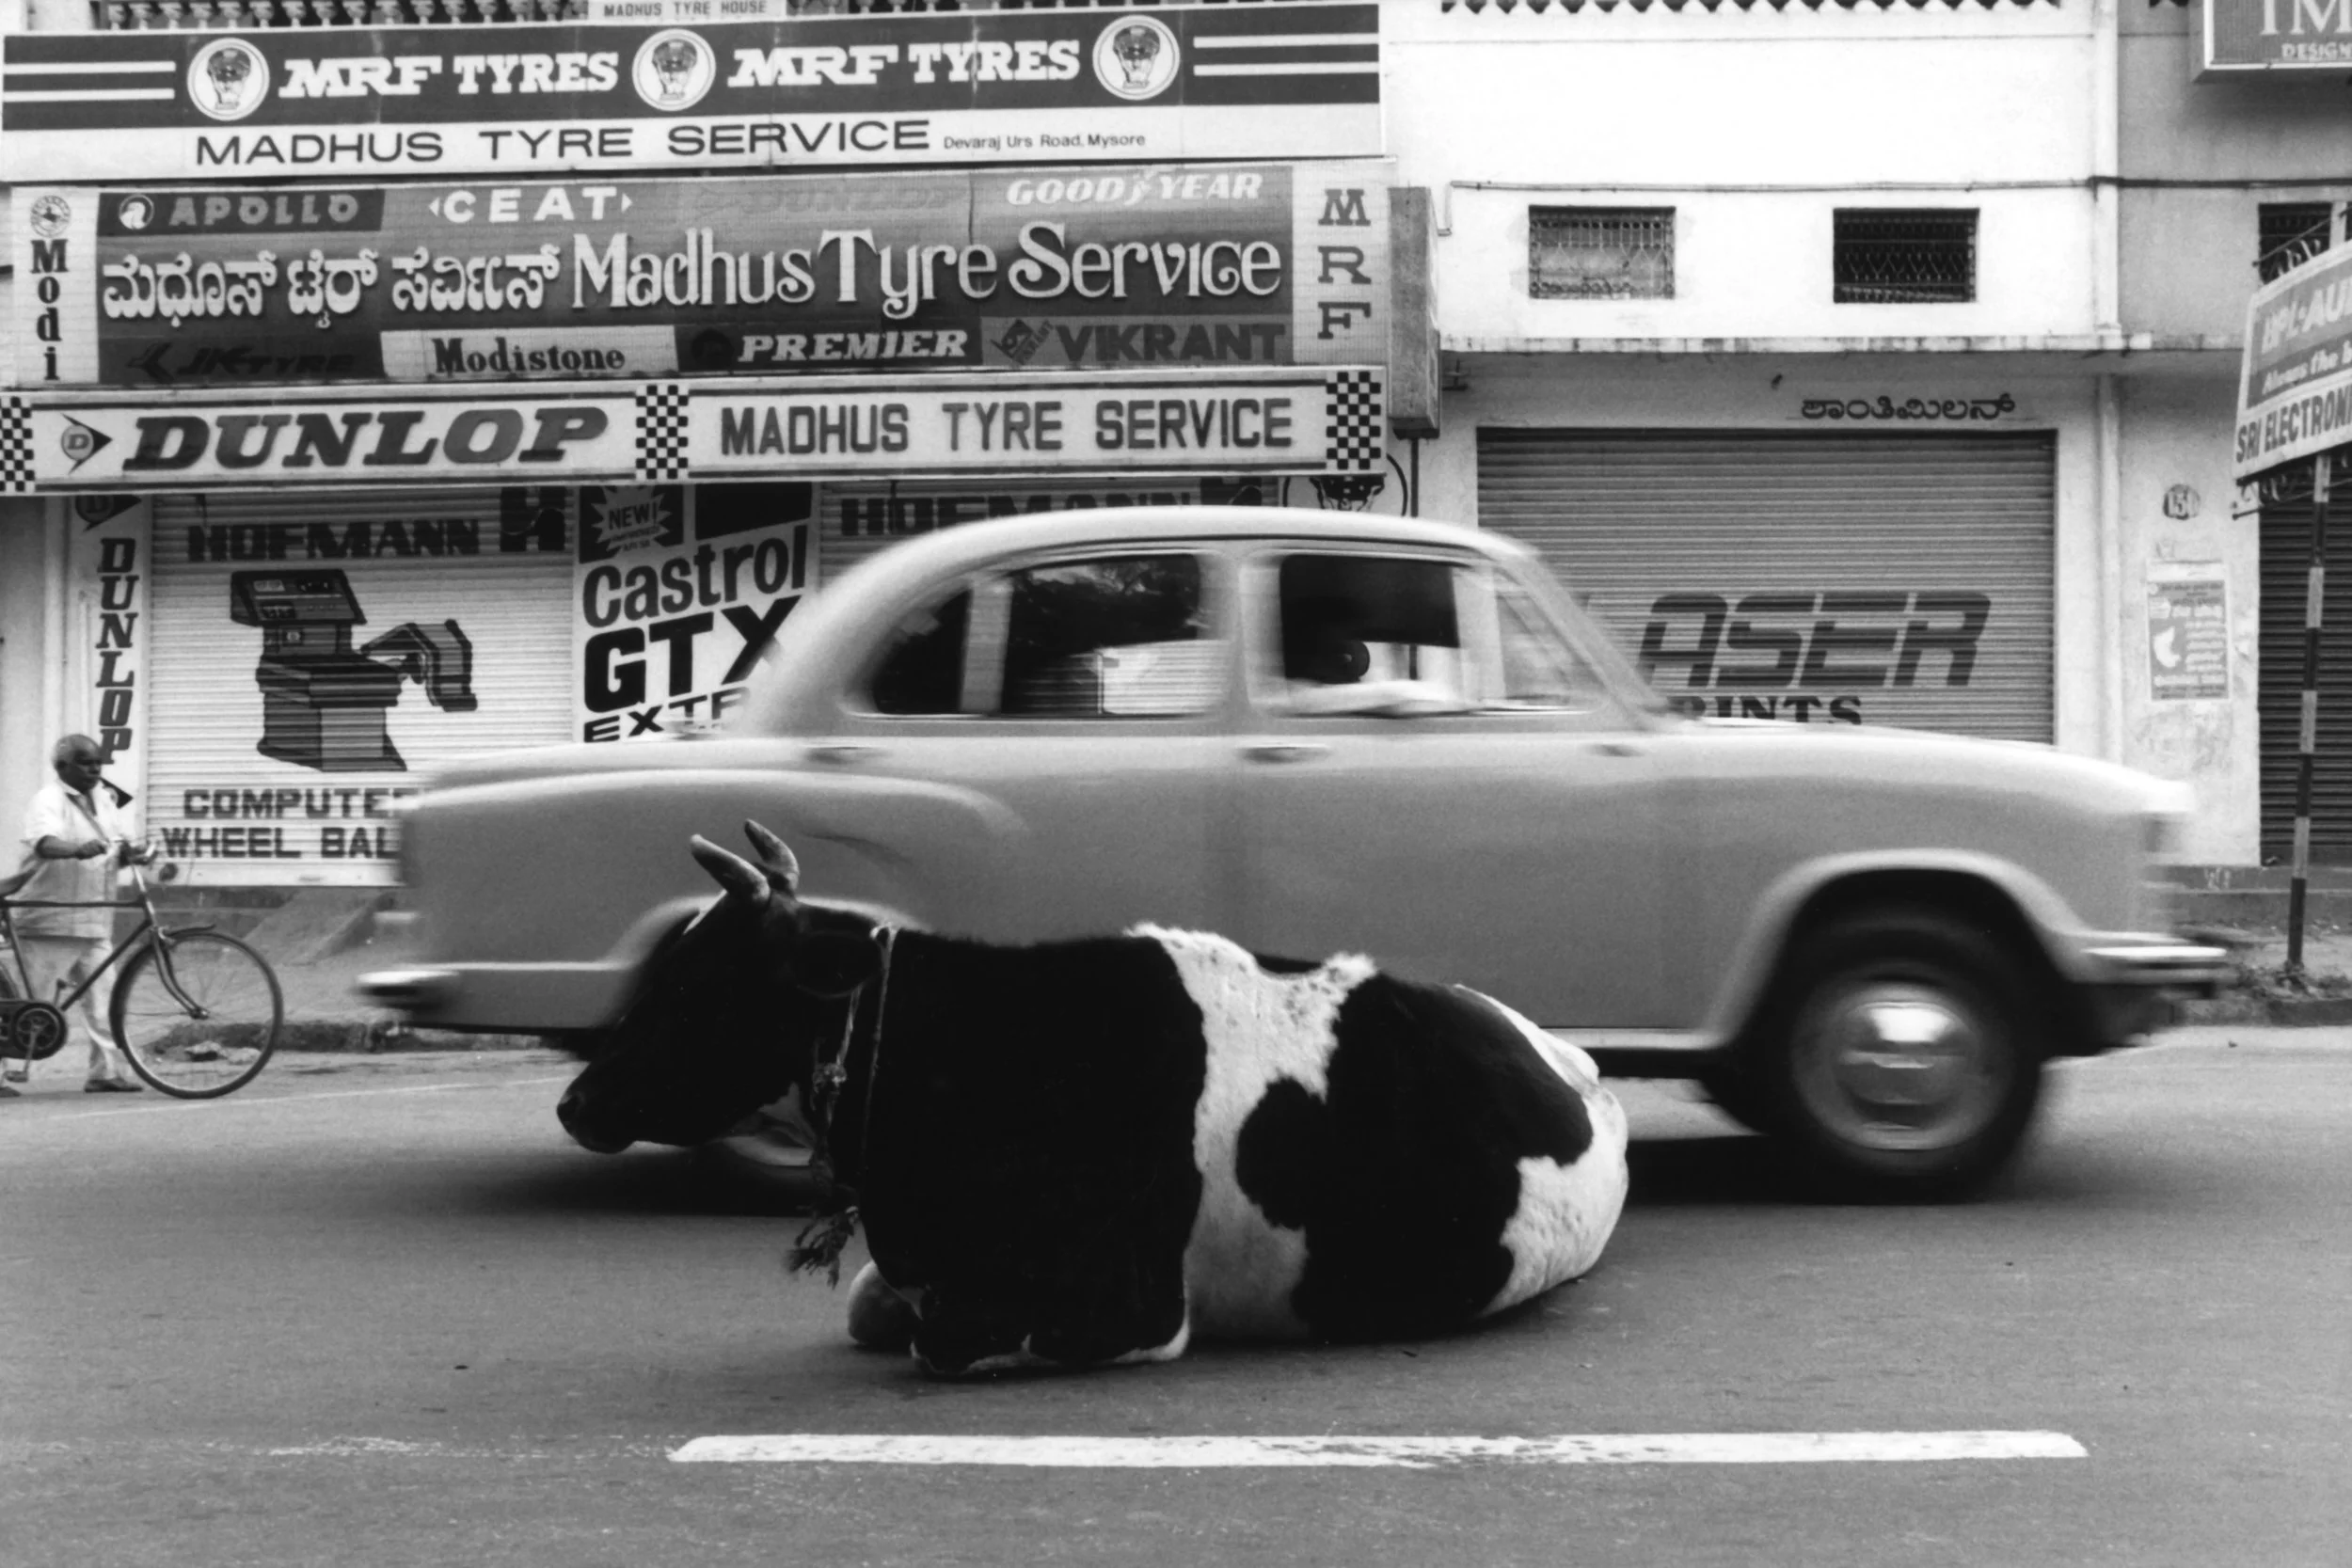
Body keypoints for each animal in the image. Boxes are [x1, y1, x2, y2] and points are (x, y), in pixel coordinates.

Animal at [557, 822, 1628, 1372]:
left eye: (697, 984)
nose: (572, 1102)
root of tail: (1575, 1066)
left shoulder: (1135, 1307)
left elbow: (951, 1339)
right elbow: (874, 1311)